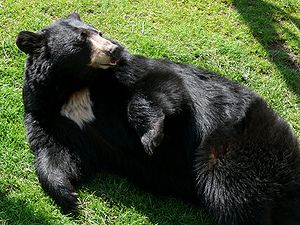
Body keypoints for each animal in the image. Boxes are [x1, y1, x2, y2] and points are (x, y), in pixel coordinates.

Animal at [15, 13, 300, 224]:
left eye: (99, 32)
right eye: (82, 39)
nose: (114, 49)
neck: (75, 86)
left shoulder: (128, 73)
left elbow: (161, 86)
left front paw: (151, 139)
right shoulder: (46, 113)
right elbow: (55, 150)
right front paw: (69, 196)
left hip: (237, 146)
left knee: (235, 192)